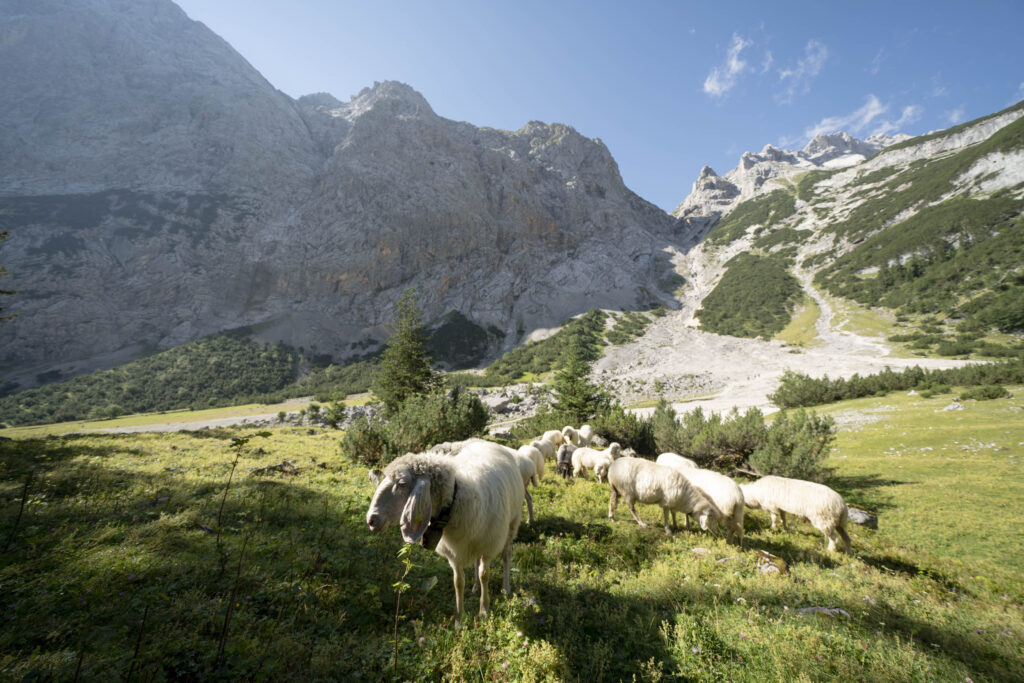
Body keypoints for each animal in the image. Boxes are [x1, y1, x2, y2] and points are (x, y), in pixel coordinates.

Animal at [366, 440, 524, 618]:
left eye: (402, 484)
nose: (371, 520)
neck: (454, 500)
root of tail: (486, 441)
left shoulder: (488, 546)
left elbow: (485, 575)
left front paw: (484, 610)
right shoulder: (454, 554)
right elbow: (458, 582)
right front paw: (460, 618)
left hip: (512, 523)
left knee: (506, 555)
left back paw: (506, 588)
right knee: (476, 562)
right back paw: (476, 587)